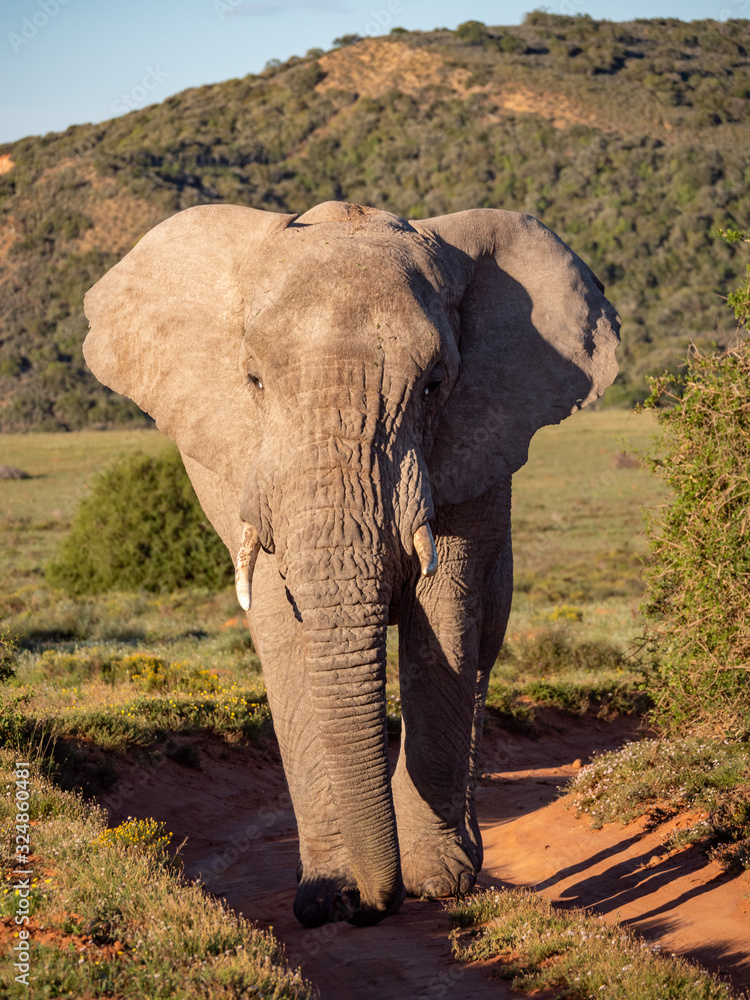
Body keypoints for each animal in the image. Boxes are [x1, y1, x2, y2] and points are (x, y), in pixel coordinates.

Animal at [83, 197, 624, 928]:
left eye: (434, 385)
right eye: (253, 381)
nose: (373, 905)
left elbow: (444, 613)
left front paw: (435, 883)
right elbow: (282, 625)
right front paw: (324, 895)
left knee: (481, 648)